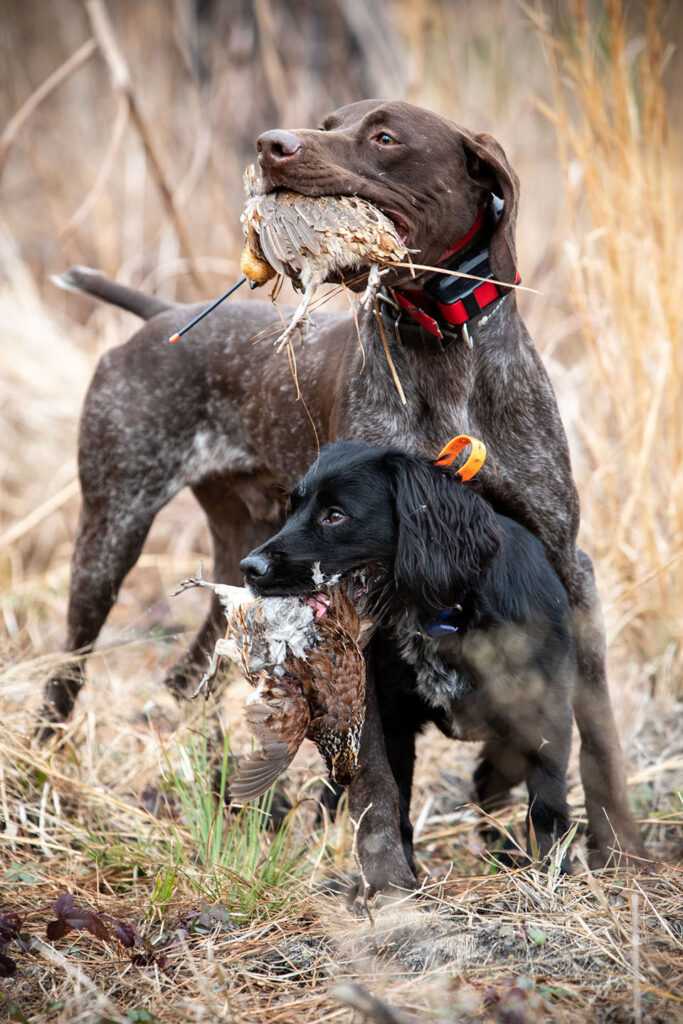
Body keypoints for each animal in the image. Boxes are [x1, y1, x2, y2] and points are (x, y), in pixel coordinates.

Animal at [240, 440, 577, 880]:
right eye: (292, 509)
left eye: (336, 515)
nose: (249, 568)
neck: (444, 618)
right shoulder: (390, 724)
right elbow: (391, 803)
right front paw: (399, 880)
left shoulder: (546, 713)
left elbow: (547, 803)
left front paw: (555, 873)